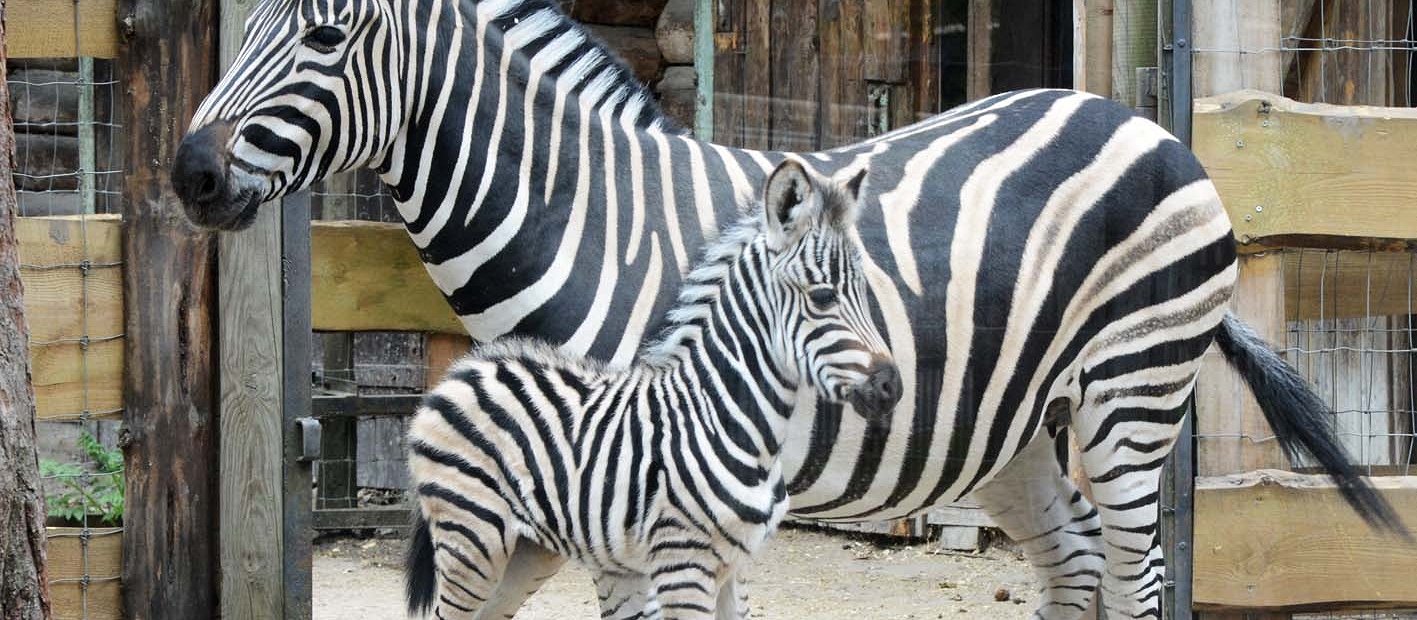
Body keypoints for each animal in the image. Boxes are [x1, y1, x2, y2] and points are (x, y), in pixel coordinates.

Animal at [405, 161, 901, 620]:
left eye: (864, 290)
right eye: (823, 297)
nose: (891, 386)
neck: (726, 419)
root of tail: (463, 371)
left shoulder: (735, 567)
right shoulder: (684, 565)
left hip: (527, 548)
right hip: (473, 536)